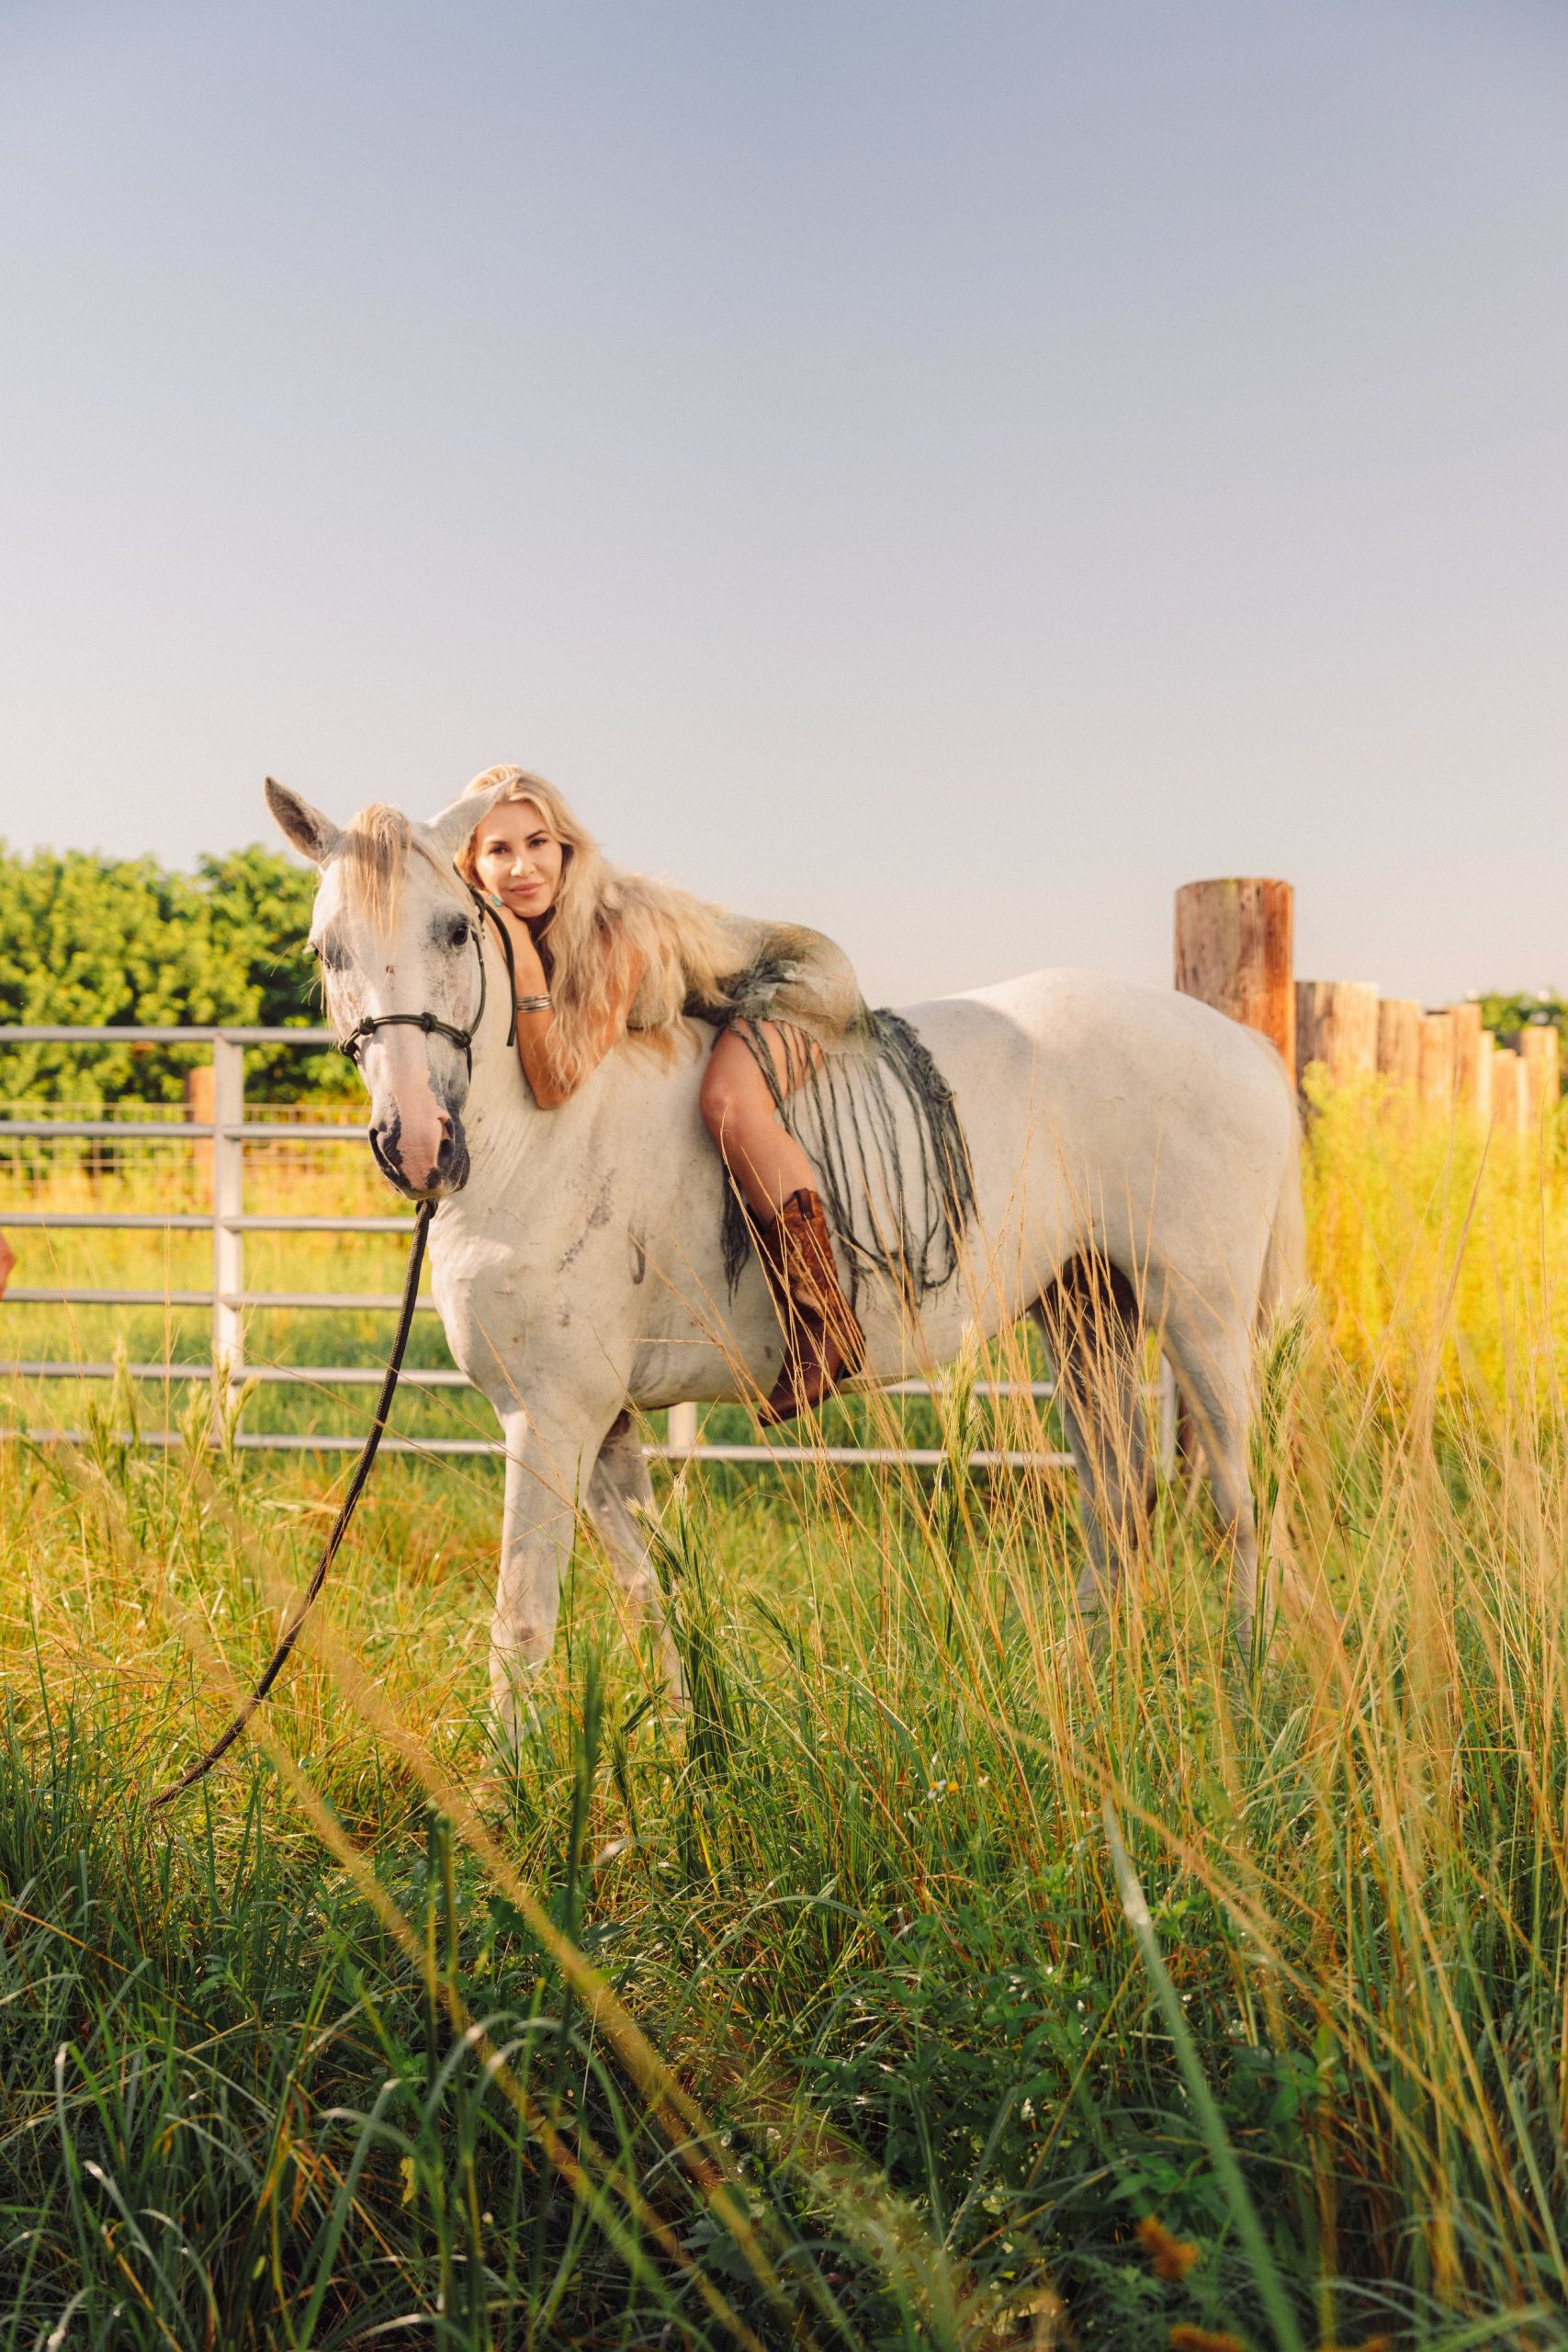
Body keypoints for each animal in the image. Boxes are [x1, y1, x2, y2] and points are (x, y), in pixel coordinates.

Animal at [267, 777, 1305, 1739]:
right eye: (326, 951)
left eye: (453, 929)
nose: (415, 1144)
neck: (540, 1134)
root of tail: (1243, 1044)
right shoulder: (602, 1425)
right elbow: (649, 1592)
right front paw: (690, 1750)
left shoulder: (550, 1420)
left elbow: (522, 1624)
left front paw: (507, 1797)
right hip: (1087, 1313)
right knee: (1118, 1501)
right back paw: (1083, 1692)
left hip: (1201, 1320)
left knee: (1238, 1502)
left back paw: (1250, 1691)